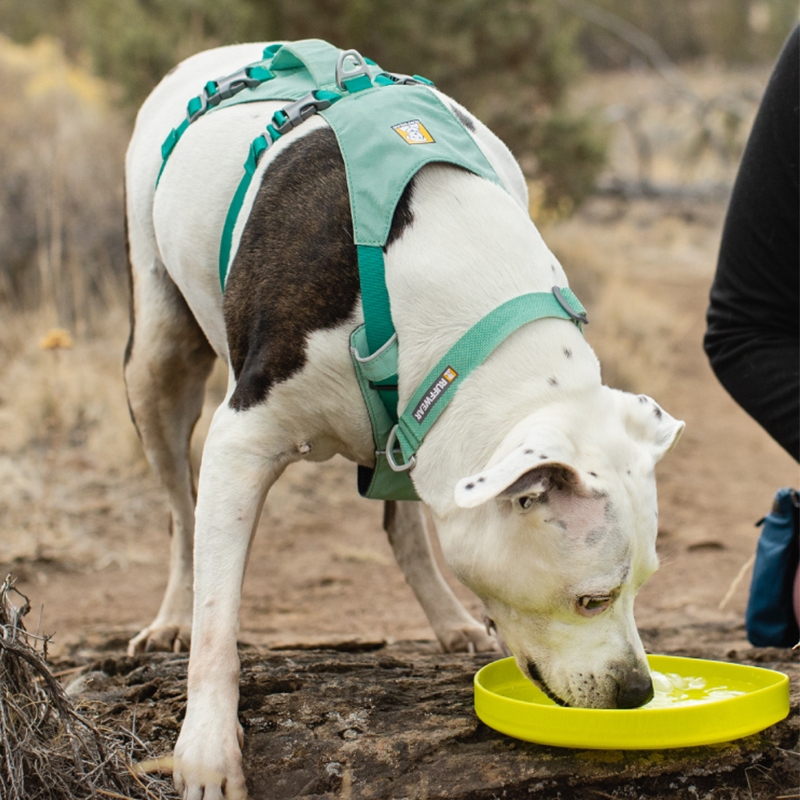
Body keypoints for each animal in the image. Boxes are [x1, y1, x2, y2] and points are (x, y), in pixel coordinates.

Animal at [123, 42, 680, 792]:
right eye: (593, 598)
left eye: (645, 584)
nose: (638, 692)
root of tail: (223, 53)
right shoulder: (242, 438)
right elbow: (218, 617)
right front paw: (207, 746)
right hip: (156, 358)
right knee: (182, 516)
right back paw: (169, 618)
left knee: (403, 526)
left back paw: (448, 618)